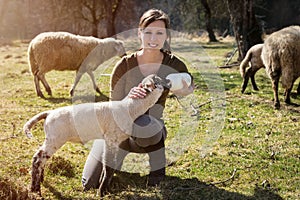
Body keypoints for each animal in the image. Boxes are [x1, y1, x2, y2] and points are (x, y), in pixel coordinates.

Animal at [23, 74, 166, 196]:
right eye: (158, 80)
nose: (168, 81)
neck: (130, 108)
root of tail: (49, 113)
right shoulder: (111, 139)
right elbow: (108, 166)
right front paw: (102, 192)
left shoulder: (114, 141)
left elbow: (110, 165)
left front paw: (105, 189)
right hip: (55, 138)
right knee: (37, 158)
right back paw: (35, 189)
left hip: (51, 138)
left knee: (42, 159)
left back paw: (40, 181)